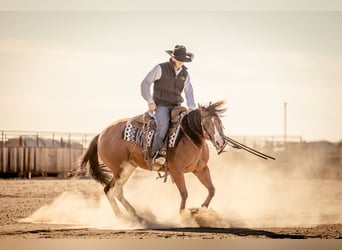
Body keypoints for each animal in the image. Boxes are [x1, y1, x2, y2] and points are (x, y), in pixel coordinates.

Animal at [80, 99, 227, 221]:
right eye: (206, 123)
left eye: (219, 122)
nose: (220, 142)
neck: (188, 137)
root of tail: (101, 134)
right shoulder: (177, 171)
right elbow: (184, 193)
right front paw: (183, 215)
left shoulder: (201, 169)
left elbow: (212, 190)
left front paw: (199, 210)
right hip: (119, 169)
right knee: (110, 190)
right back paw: (121, 217)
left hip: (128, 167)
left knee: (116, 191)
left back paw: (135, 215)